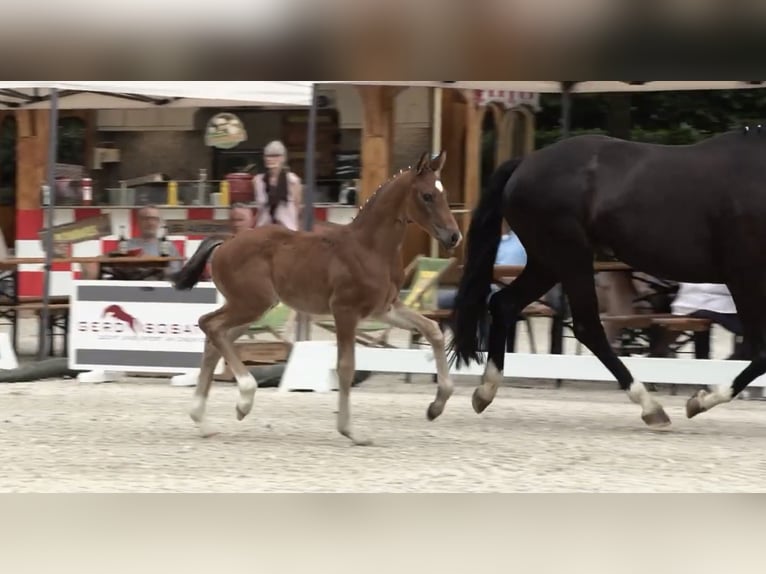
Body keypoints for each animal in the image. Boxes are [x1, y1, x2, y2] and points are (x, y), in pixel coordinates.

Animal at [174, 152, 462, 446]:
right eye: (427, 195)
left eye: (444, 193)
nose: (454, 236)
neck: (370, 248)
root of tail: (227, 241)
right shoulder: (345, 311)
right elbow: (346, 366)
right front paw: (351, 431)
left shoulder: (384, 309)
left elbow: (433, 330)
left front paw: (436, 407)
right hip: (249, 305)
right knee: (209, 324)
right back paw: (244, 397)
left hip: (253, 309)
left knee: (215, 339)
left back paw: (204, 421)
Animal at [452, 128, 766, 430]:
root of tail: (525, 163)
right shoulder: (744, 277)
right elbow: (760, 352)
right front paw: (699, 401)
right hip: (571, 257)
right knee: (588, 327)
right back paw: (650, 407)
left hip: (548, 263)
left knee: (504, 304)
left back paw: (485, 391)